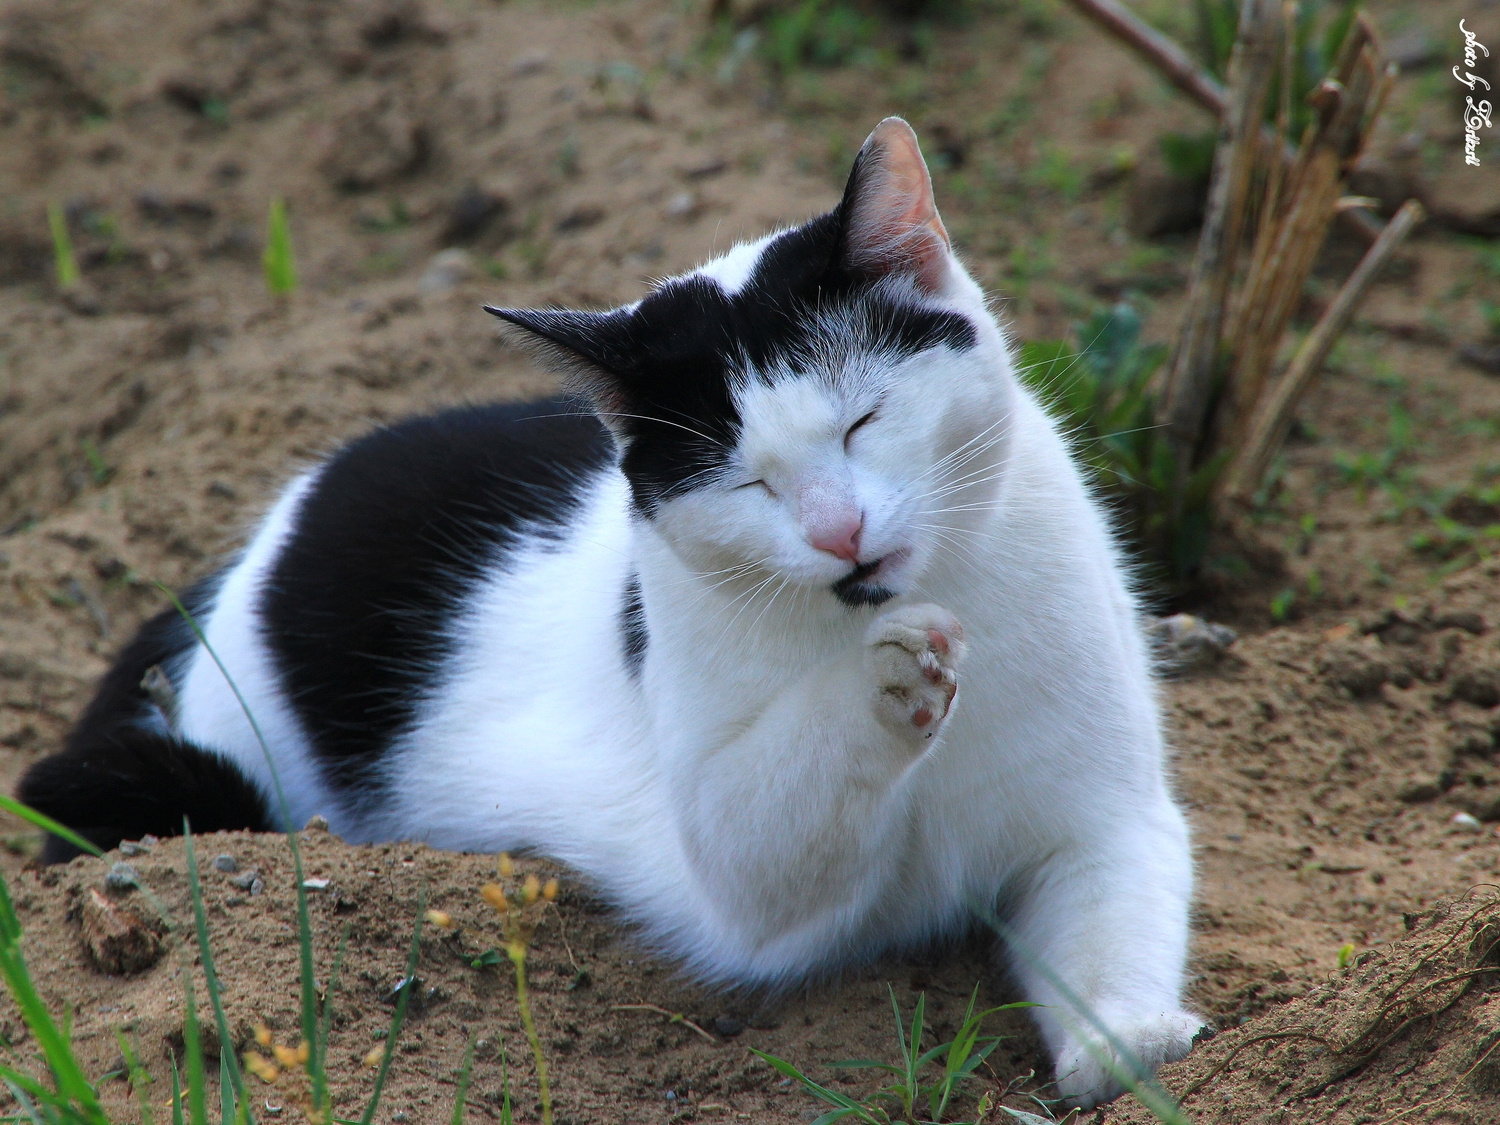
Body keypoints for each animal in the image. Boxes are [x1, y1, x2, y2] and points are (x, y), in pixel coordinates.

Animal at [20, 119, 1194, 1104]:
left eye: (864, 421)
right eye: (745, 482)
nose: (838, 533)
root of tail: (253, 545)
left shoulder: (1109, 819)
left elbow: (1112, 921)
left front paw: (1125, 1045)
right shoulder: (749, 887)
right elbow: (790, 794)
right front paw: (888, 670)